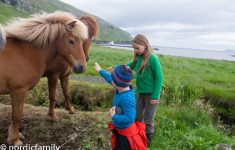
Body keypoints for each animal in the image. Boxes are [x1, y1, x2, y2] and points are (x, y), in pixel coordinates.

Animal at [0, 11, 88, 145]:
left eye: (82, 41)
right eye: (71, 41)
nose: (82, 67)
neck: (26, 53)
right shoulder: (19, 90)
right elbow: (17, 115)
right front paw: (14, 139)